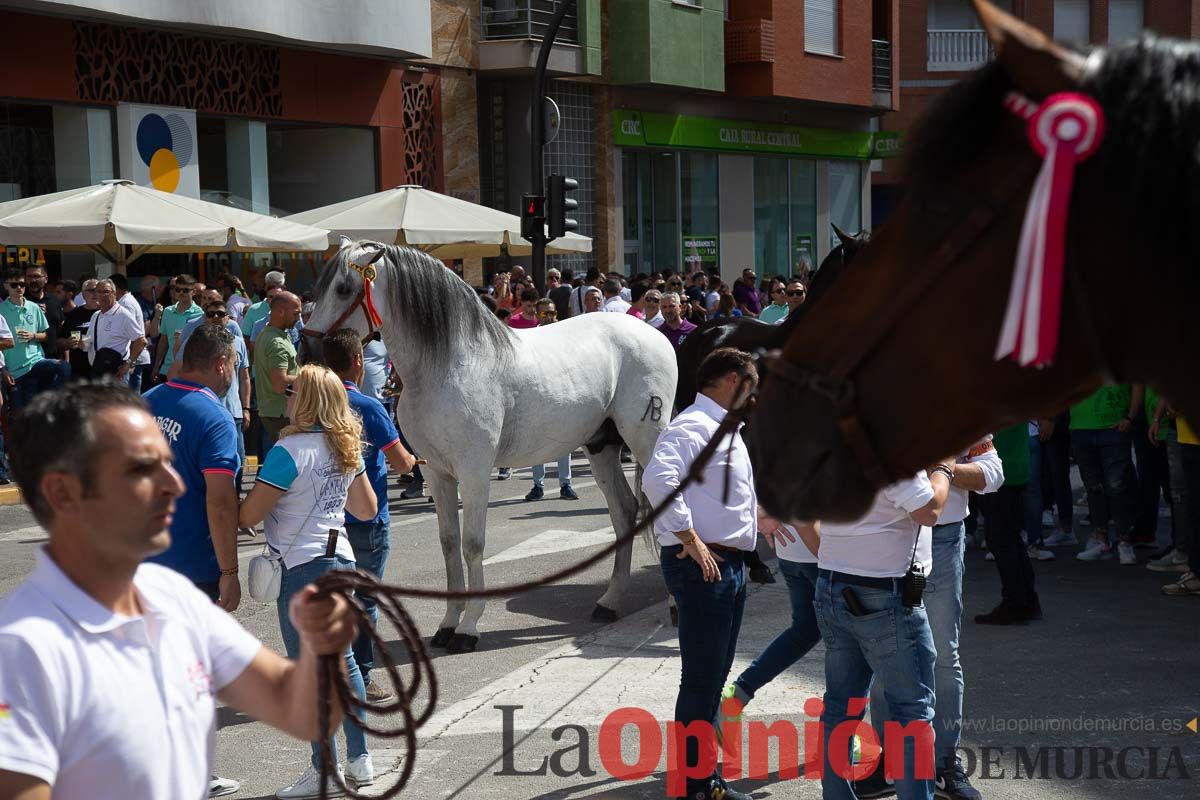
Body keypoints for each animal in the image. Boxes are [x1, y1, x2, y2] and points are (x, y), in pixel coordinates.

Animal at [303, 240, 679, 652]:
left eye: (342, 288)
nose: (308, 349)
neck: (447, 365)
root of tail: (652, 333)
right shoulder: (437, 473)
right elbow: (449, 543)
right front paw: (448, 624)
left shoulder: (474, 471)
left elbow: (472, 544)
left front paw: (468, 628)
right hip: (601, 447)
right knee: (624, 512)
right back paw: (610, 602)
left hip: (645, 439)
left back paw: (674, 605)